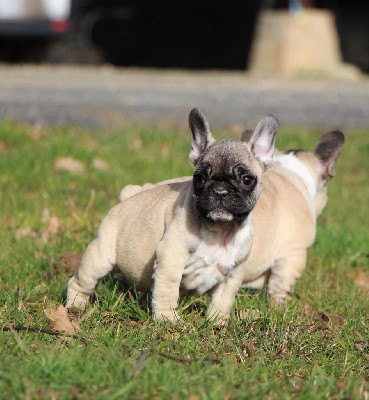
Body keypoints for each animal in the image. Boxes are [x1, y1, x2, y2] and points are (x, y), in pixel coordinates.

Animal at [66, 108, 278, 320]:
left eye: (247, 179)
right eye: (200, 178)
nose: (220, 191)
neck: (220, 231)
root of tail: (126, 198)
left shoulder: (232, 273)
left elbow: (223, 299)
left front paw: (217, 321)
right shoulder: (170, 257)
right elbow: (167, 290)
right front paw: (167, 319)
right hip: (101, 255)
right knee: (81, 281)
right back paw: (76, 306)